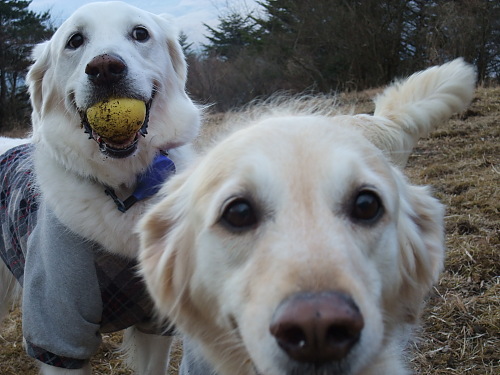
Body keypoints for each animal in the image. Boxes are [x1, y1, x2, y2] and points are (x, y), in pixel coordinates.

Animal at [0, 1, 199, 374]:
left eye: (140, 33)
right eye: (75, 41)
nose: (105, 68)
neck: (124, 190)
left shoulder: (157, 323)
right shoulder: (57, 332)